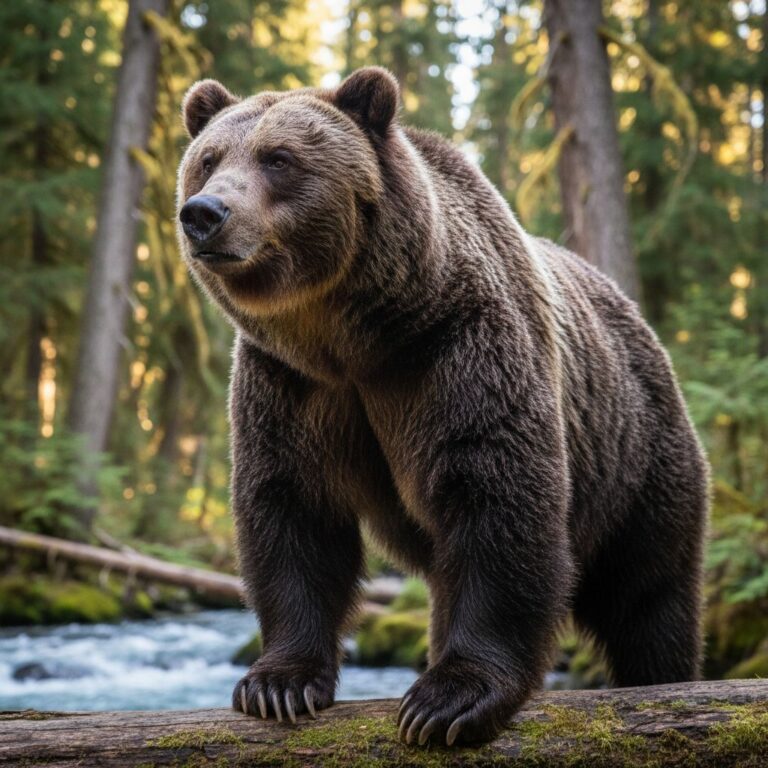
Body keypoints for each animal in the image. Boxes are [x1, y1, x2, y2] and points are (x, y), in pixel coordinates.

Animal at [176, 67, 708, 746]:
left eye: (279, 158)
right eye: (209, 159)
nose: (204, 213)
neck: (348, 337)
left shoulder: (456, 351)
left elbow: (497, 496)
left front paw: (448, 700)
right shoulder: (289, 385)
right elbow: (292, 509)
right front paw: (278, 684)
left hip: (637, 454)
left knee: (648, 590)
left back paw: (662, 677)